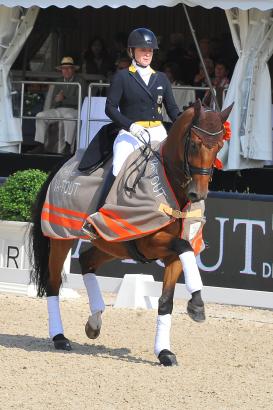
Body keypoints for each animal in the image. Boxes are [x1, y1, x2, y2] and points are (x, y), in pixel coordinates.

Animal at [29, 100, 231, 368]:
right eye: (195, 144)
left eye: (219, 146)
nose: (198, 193)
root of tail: (64, 164)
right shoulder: (149, 241)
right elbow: (184, 247)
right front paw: (197, 304)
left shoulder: (171, 255)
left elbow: (166, 300)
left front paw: (165, 351)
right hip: (61, 236)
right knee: (53, 283)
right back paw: (60, 338)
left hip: (112, 242)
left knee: (87, 261)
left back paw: (94, 321)